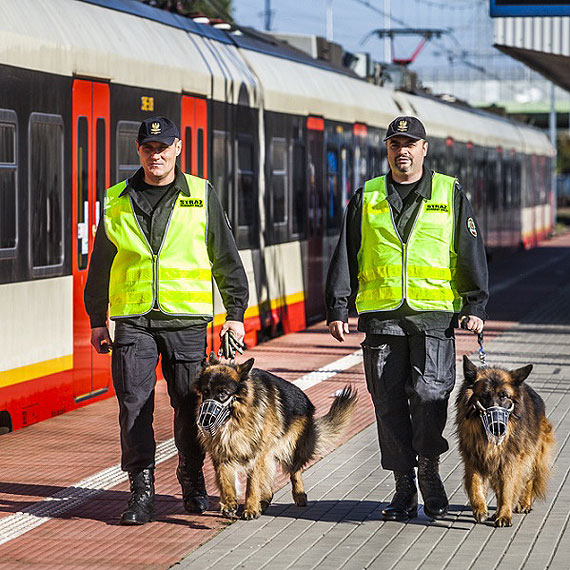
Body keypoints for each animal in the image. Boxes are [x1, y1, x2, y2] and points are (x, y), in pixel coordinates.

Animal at [194, 356, 356, 520]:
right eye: (206, 392)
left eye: (223, 393)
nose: (205, 420)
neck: (236, 420)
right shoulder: (221, 452)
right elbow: (224, 480)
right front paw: (229, 504)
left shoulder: (257, 455)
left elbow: (252, 485)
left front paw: (251, 508)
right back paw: (264, 501)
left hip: (292, 448)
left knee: (295, 471)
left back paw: (298, 495)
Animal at [454, 358, 552, 524]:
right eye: (485, 395)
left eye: (504, 396)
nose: (498, 427)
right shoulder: (474, 458)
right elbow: (475, 484)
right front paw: (480, 508)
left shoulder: (510, 460)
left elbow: (507, 488)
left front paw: (505, 514)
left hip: (531, 454)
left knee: (528, 479)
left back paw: (523, 503)